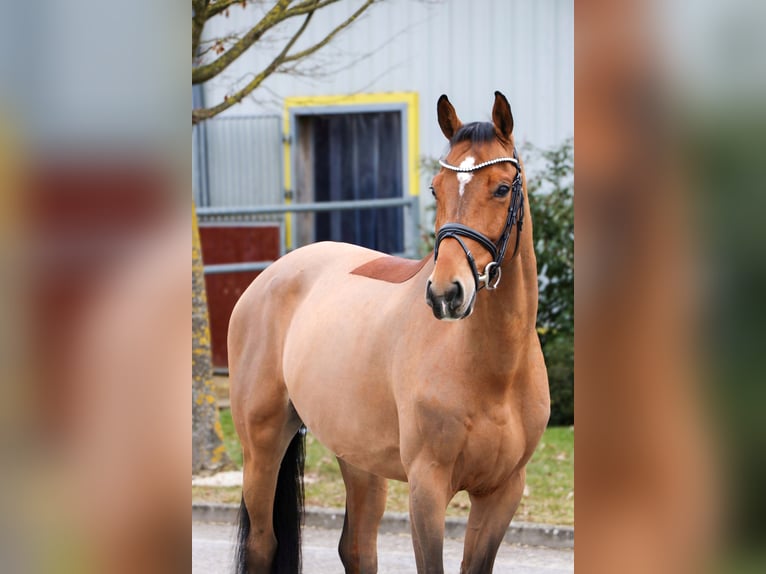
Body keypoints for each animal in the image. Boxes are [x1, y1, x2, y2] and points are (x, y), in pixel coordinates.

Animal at [228, 91, 550, 574]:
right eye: (435, 187)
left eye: (502, 188)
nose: (446, 292)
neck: (496, 372)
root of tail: (269, 275)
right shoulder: (426, 488)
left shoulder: (502, 492)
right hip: (262, 446)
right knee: (264, 545)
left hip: (358, 456)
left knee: (358, 548)